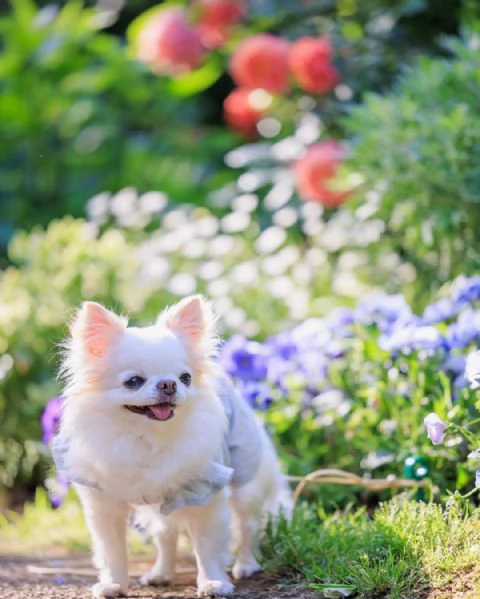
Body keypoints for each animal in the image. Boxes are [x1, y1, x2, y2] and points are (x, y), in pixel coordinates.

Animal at [54, 298, 290, 596]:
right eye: (134, 381)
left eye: (185, 377)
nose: (168, 383)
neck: (147, 436)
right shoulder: (105, 505)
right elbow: (112, 551)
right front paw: (114, 583)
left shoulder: (205, 493)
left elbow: (208, 547)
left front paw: (213, 582)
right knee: (165, 534)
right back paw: (162, 573)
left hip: (247, 484)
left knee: (249, 525)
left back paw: (247, 564)